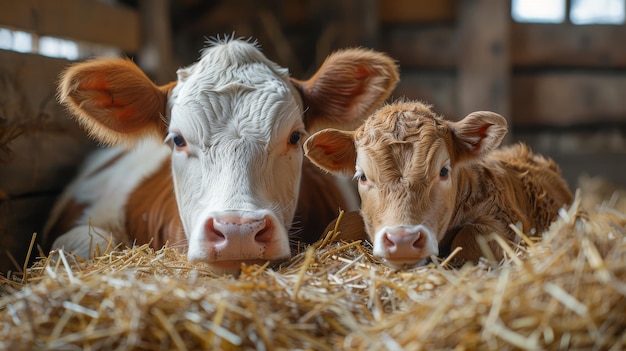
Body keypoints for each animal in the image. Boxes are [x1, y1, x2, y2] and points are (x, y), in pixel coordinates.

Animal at [304, 99, 572, 270]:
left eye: (443, 171)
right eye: (362, 176)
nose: (403, 242)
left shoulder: (504, 222)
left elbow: (470, 235)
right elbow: (342, 224)